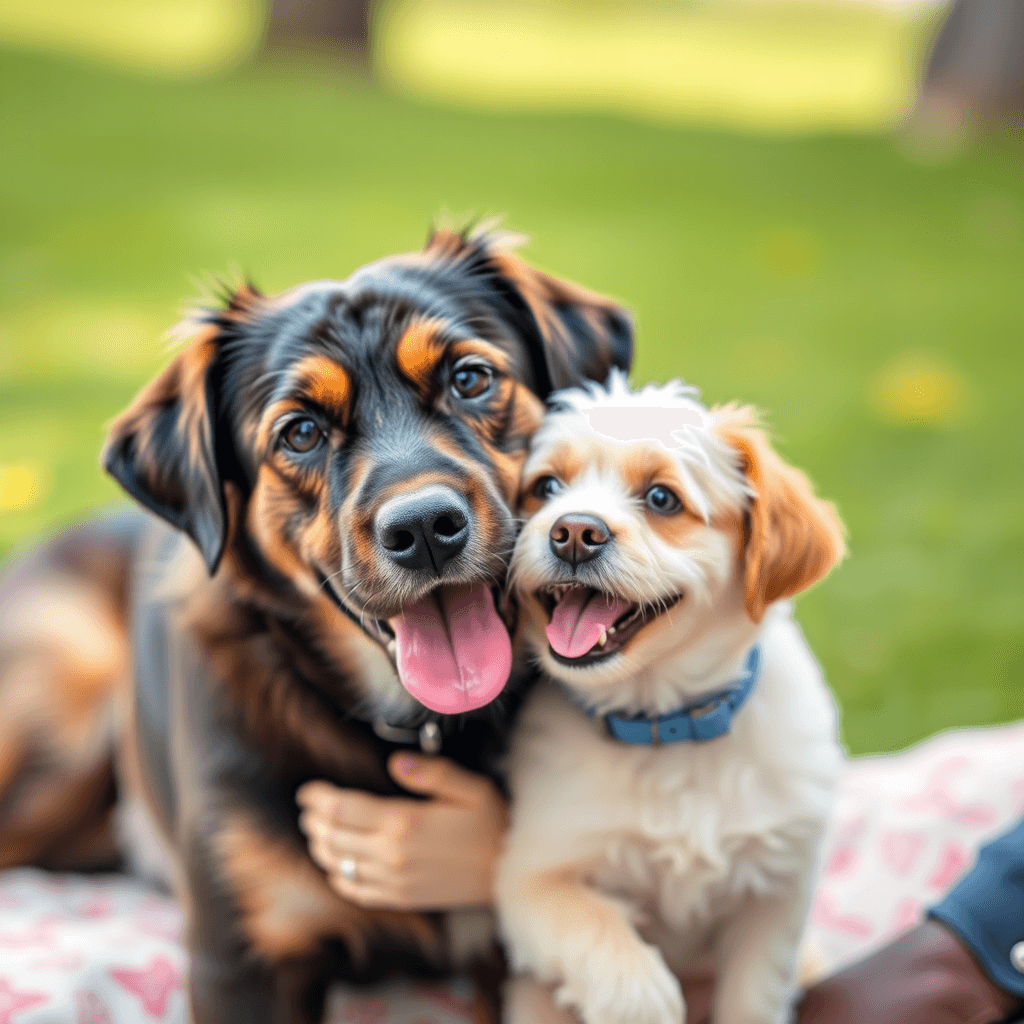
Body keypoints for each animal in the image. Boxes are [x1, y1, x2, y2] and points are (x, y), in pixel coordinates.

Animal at [497, 376, 847, 1024]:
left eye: (662, 498)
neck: (666, 727)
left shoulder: (779, 893)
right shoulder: (529, 877)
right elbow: (604, 943)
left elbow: (754, 999)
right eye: (546, 488)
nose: (573, 531)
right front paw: (640, 995)